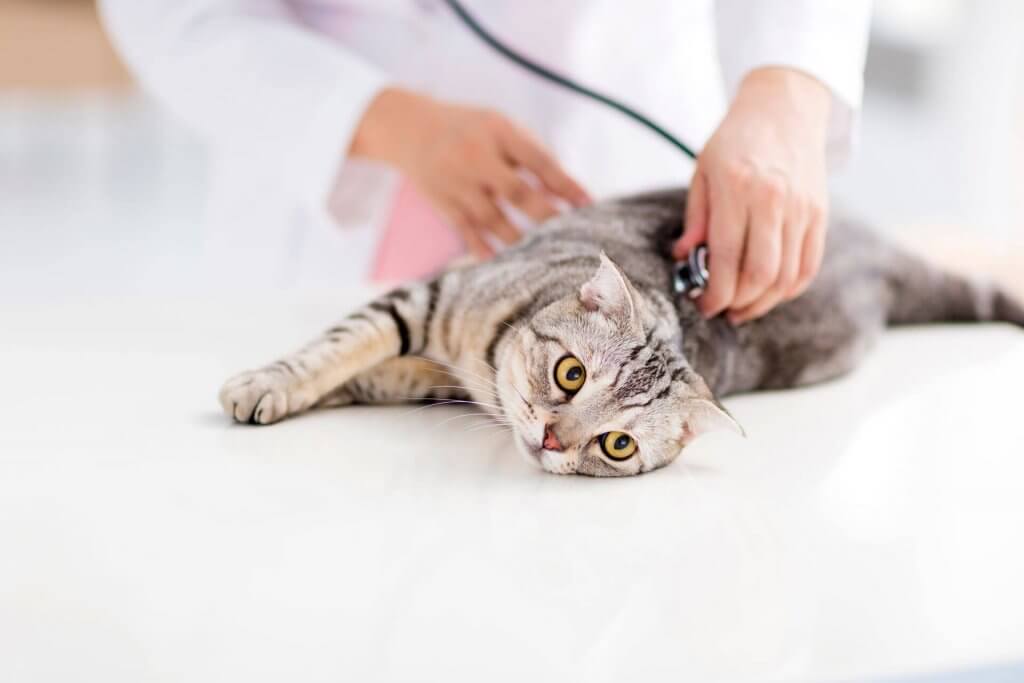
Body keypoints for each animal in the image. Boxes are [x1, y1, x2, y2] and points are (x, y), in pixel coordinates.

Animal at [218, 187, 1024, 475]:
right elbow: (340, 347)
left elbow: (366, 371)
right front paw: (268, 383)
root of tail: (871, 249)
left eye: (617, 445)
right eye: (571, 372)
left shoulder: (431, 367)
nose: (551, 439)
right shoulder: (429, 297)